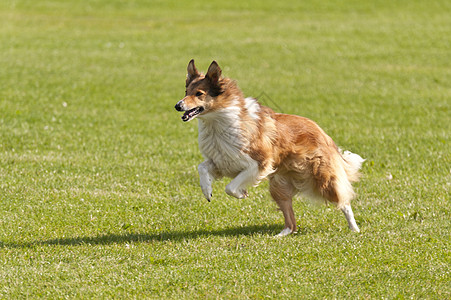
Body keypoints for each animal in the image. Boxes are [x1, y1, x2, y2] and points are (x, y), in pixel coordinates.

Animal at [175, 59, 366, 237]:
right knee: (291, 221)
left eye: (199, 94)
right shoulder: (222, 161)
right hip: (278, 186)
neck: (217, 123)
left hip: (322, 180)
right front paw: (207, 191)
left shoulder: (259, 164)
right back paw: (280, 235)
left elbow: (230, 187)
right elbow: (202, 167)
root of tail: (323, 133)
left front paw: (241, 193)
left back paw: (354, 229)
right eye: (186, 92)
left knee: (344, 201)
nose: (178, 106)